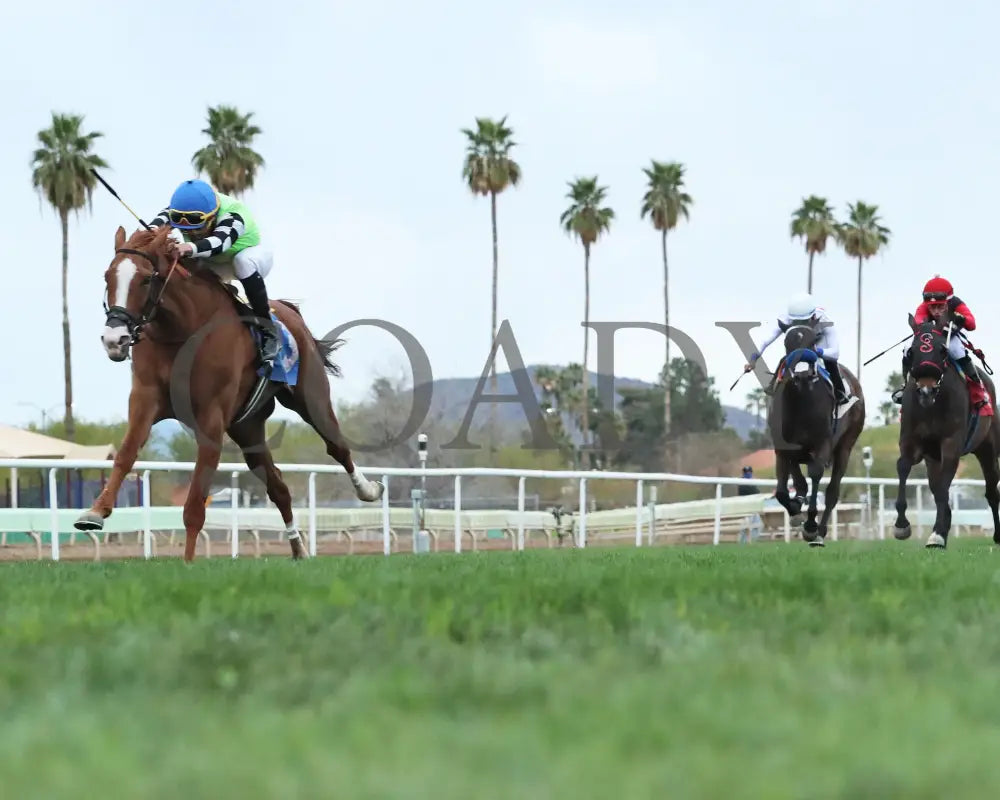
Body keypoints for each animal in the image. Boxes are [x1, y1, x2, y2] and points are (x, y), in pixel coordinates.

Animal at [74, 223, 384, 564]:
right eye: (108, 277)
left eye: (144, 278)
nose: (114, 339)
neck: (183, 330)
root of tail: (288, 312)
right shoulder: (145, 399)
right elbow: (127, 452)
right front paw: (95, 512)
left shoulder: (211, 417)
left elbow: (196, 501)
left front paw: (188, 563)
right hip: (247, 427)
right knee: (278, 486)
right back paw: (298, 549)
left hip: (311, 398)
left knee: (337, 447)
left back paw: (368, 490)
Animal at [764, 318, 868, 544]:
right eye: (786, 343)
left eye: (813, 341)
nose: (803, 373)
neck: (802, 401)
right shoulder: (782, 448)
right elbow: (783, 491)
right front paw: (795, 511)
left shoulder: (822, 445)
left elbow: (815, 475)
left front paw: (810, 524)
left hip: (845, 446)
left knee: (832, 492)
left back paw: (819, 530)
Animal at [892, 316, 1000, 548]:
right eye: (911, 351)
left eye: (942, 350)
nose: (926, 390)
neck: (931, 407)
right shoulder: (911, 441)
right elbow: (904, 467)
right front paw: (902, 525)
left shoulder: (951, 444)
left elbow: (943, 488)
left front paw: (937, 534)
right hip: (933, 458)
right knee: (936, 486)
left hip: (987, 448)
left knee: (991, 491)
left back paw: (996, 534)